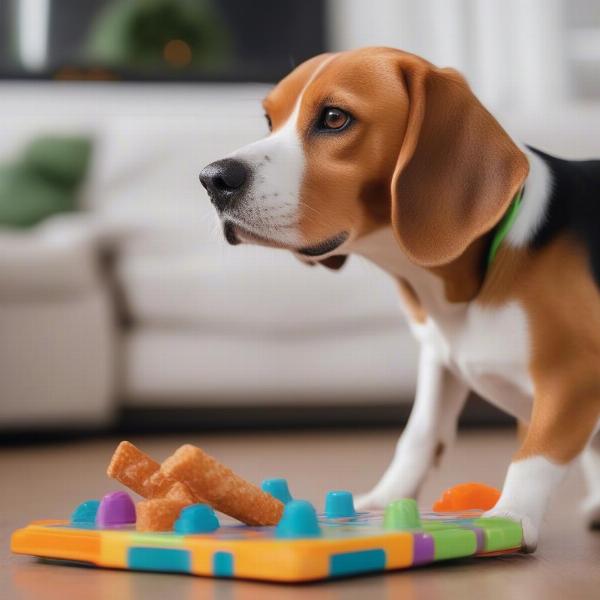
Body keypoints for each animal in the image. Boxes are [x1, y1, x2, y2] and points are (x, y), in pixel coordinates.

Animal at [200, 48, 600, 552]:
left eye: (334, 117)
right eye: (269, 119)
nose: (212, 178)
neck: (462, 288)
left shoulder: (574, 375)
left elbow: (537, 453)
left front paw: (511, 514)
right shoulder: (438, 358)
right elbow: (419, 435)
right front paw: (381, 502)